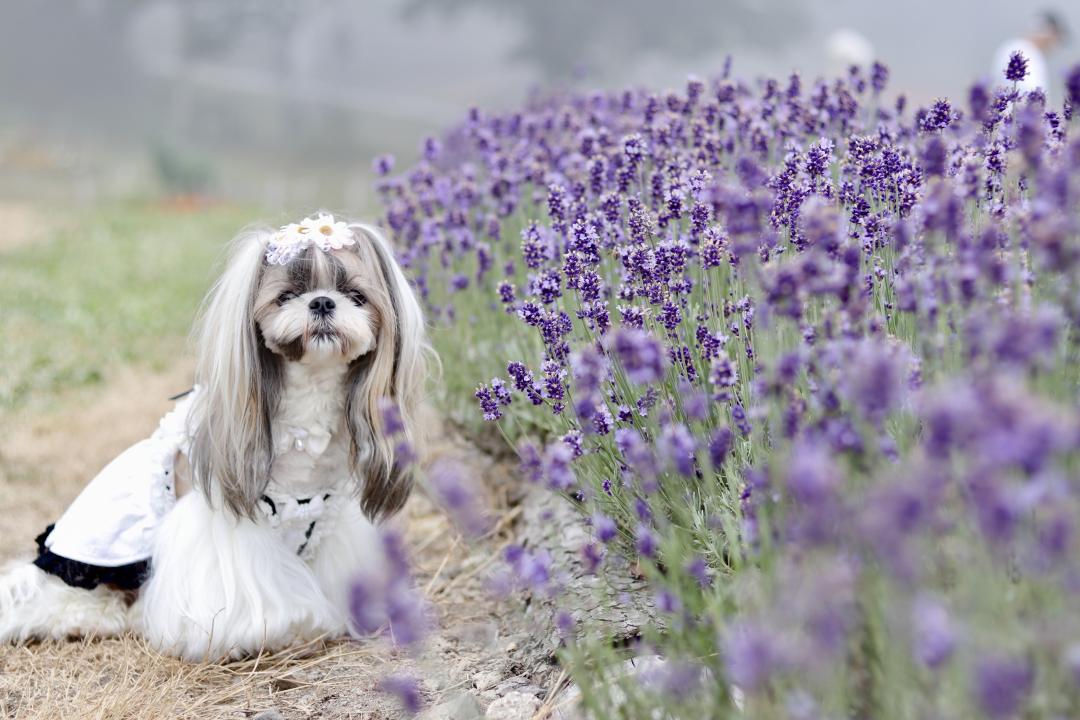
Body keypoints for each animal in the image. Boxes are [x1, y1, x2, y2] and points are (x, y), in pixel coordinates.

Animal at [1, 212, 429, 660]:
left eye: (356, 296)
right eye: (286, 296)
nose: (323, 302)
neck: (309, 399)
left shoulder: (327, 520)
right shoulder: (226, 528)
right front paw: (293, 627)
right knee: (65, 599)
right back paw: (95, 616)